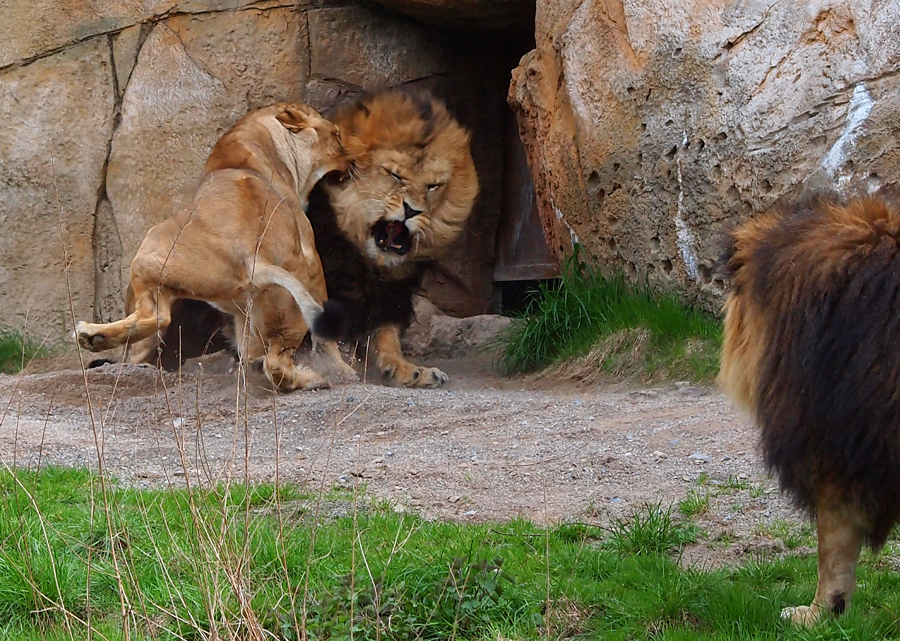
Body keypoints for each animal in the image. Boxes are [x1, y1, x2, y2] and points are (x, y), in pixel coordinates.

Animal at [74, 102, 356, 390]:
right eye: (336, 136)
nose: (353, 161)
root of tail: (253, 255)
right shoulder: (311, 252)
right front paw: (342, 369)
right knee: (276, 362)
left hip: (159, 259)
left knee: (158, 318)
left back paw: (93, 337)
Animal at [306, 88, 478, 388]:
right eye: (394, 175)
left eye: (433, 186)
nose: (411, 210)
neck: (369, 263)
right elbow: (323, 332)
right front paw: (337, 371)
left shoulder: (390, 296)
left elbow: (387, 337)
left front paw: (408, 370)